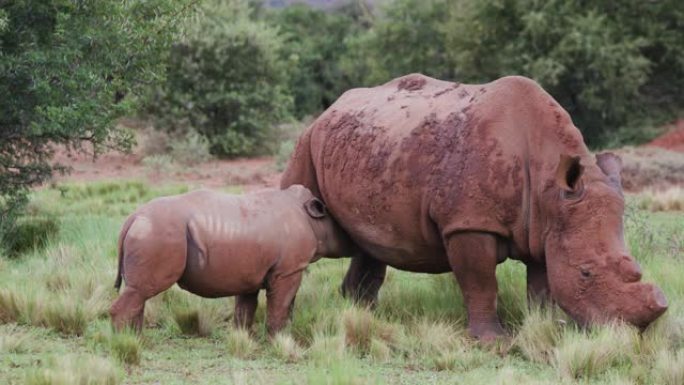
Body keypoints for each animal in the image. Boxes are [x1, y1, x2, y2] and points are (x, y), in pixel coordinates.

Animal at [111, 184, 352, 334]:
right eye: (342, 228)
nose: (354, 242)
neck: (312, 219)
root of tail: (131, 218)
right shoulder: (289, 270)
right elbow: (281, 304)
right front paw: (279, 339)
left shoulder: (251, 270)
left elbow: (245, 308)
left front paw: (243, 338)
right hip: (157, 232)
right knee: (140, 291)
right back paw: (128, 342)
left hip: (150, 231)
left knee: (138, 292)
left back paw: (134, 338)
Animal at [282, 73, 668, 338]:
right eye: (586, 272)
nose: (628, 334)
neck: (549, 188)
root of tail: (331, 107)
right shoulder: (469, 222)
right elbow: (481, 282)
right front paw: (494, 341)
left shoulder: (545, 226)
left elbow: (542, 284)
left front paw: (544, 327)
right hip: (307, 141)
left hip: (367, 147)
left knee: (372, 243)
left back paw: (364, 316)